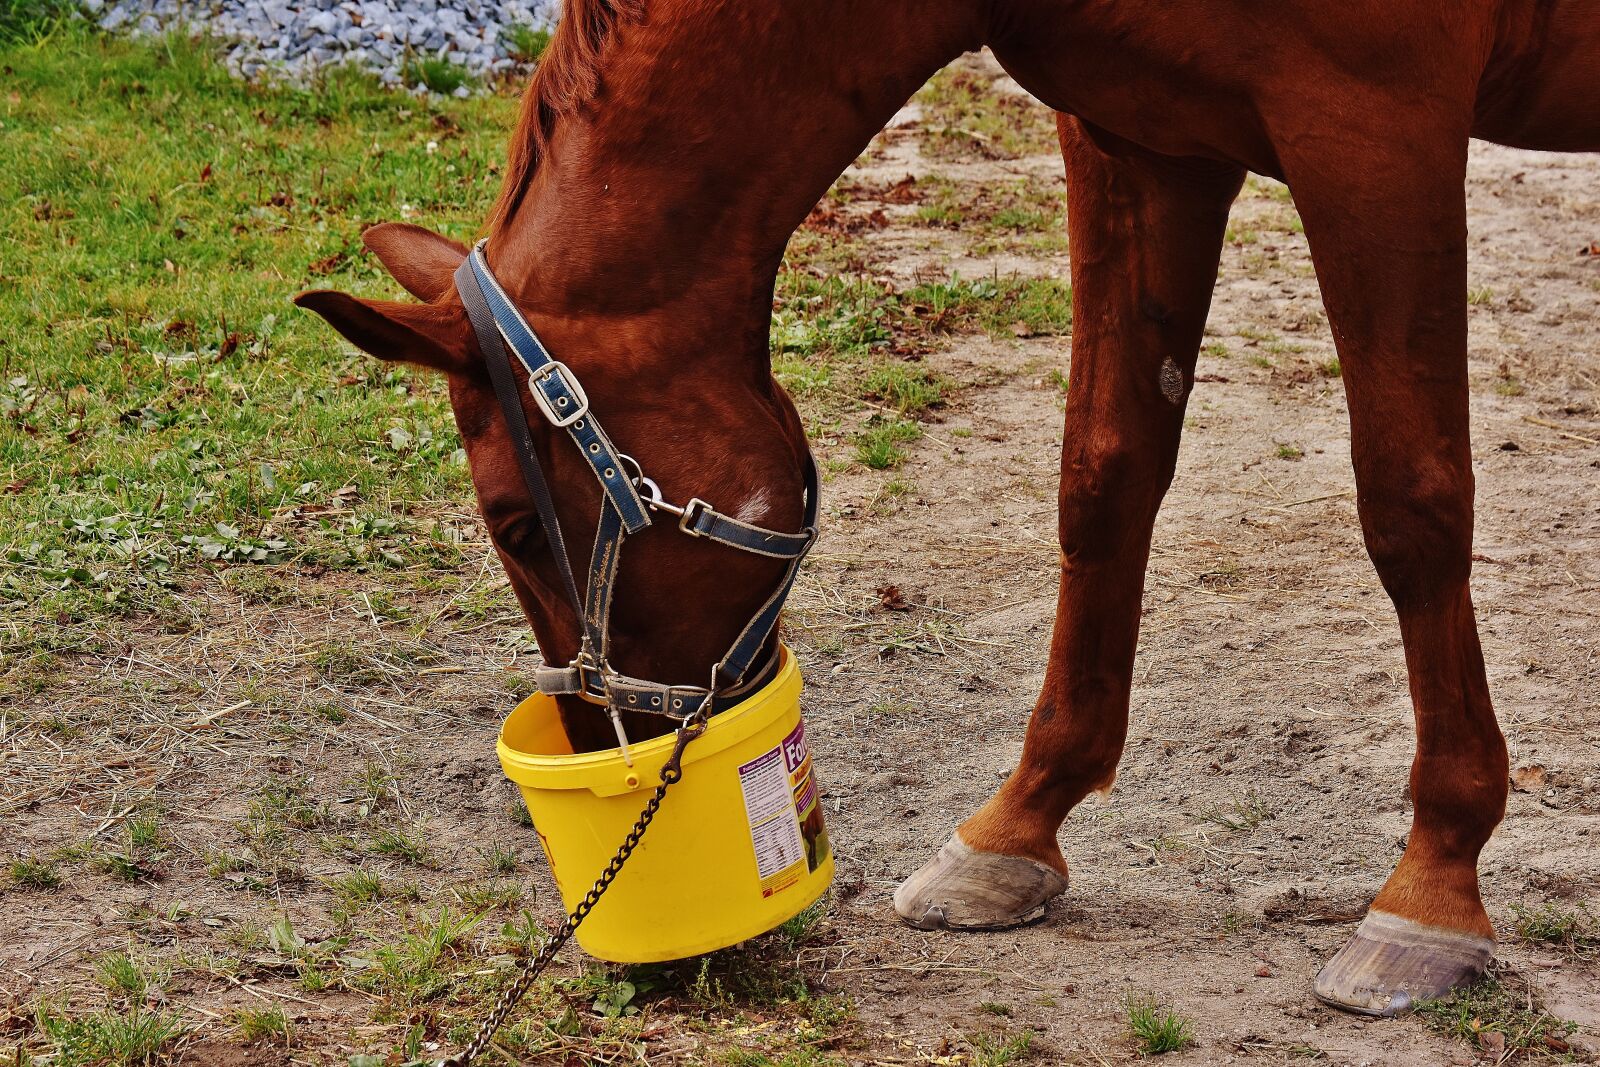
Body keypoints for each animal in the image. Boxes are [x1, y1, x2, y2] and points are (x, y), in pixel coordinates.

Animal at [295, 0, 1600, 1018]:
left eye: (516, 525)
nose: (596, 742)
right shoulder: (1140, 137)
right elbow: (1104, 475)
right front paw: (1018, 825)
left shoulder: (1376, 128)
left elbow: (1411, 502)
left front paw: (1433, 885)